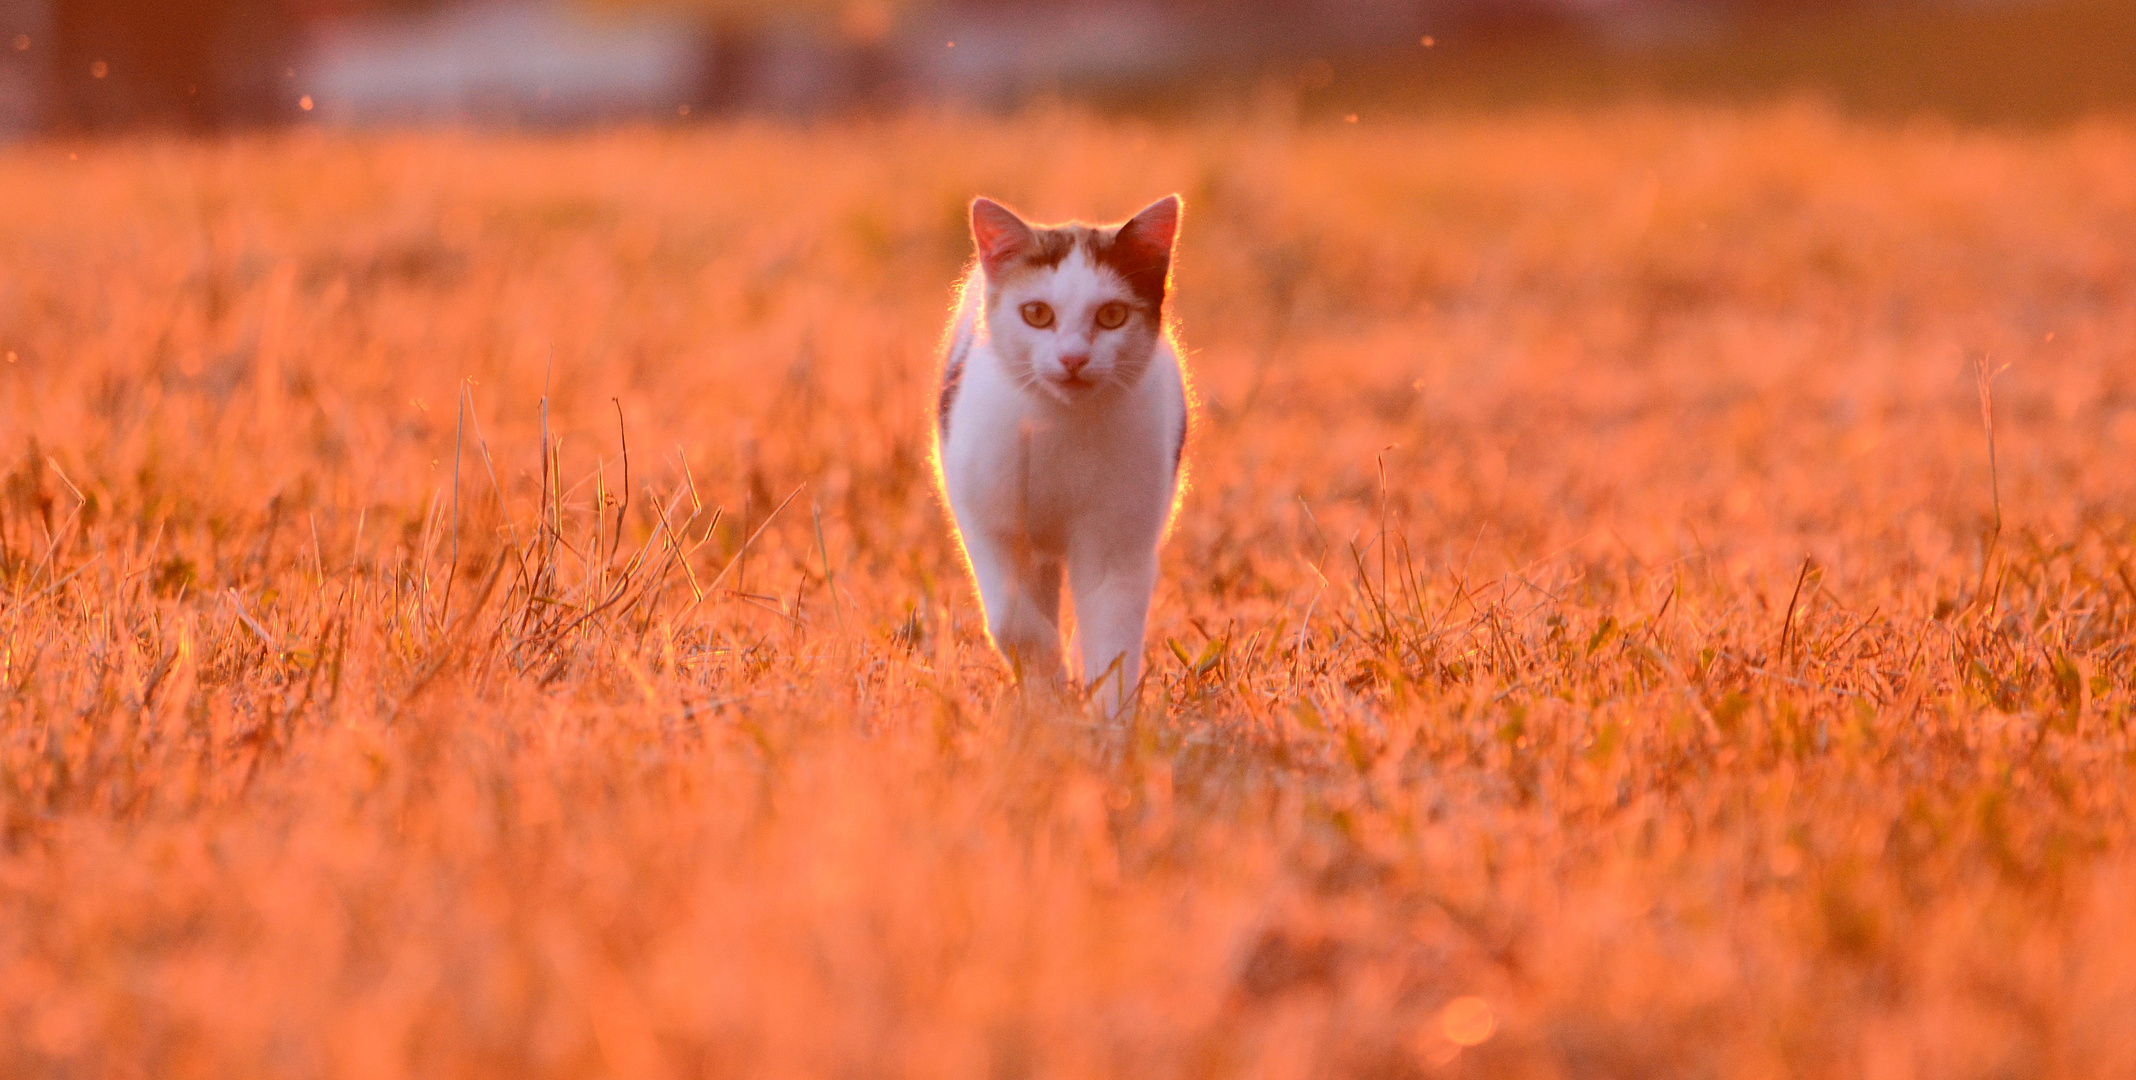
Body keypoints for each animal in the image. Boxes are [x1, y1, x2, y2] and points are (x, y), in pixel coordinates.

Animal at [935, 194, 1196, 717]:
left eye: (1112, 315)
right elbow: (1012, 619)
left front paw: (1108, 718)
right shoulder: (988, 525)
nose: (1074, 358)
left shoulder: (1119, 544)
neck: (1059, 426)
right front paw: (1048, 691)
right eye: (1036, 313)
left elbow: (1111, 635)